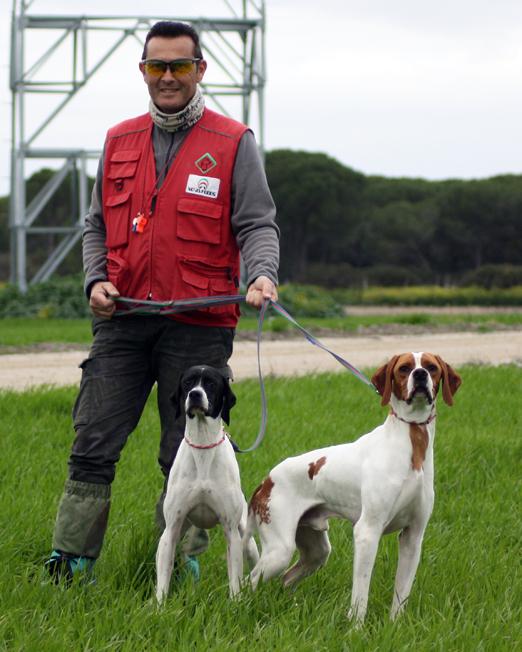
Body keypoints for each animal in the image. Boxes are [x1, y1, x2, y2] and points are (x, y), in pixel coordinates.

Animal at [155, 364, 258, 604]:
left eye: (211, 383)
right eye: (188, 382)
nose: (195, 394)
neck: (203, 445)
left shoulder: (231, 531)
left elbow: (235, 579)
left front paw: (235, 605)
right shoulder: (171, 529)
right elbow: (163, 581)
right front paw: (159, 607)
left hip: (247, 539)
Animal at [244, 352, 460, 620]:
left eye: (431, 367)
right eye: (404, 368)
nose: (419, 375)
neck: (412, 445)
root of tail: (266, 481)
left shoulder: (413, 536)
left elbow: (401, 595)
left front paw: (394, 625)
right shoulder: (367, 532)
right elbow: (360, 595)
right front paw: (356, 626)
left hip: (316, 552)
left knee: (286, 579)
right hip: (280, 550)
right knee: (250, 580)